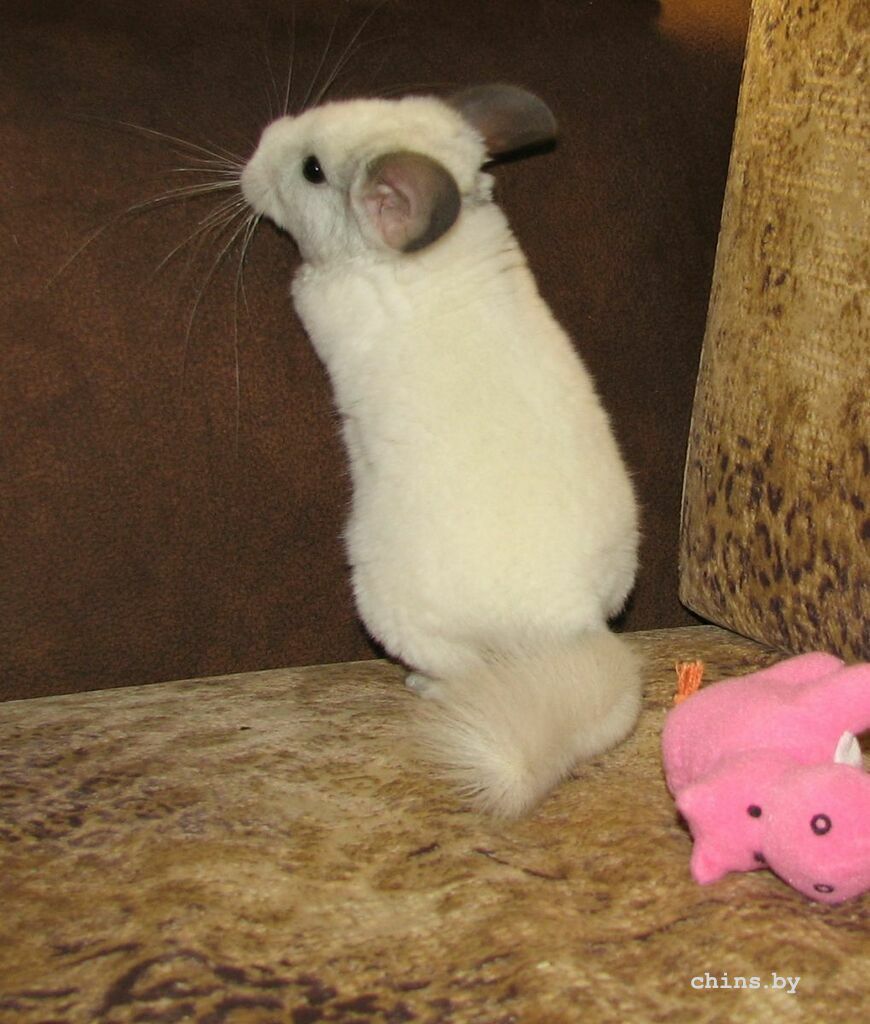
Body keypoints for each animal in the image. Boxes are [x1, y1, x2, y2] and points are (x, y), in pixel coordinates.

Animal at [241, 84, 642, 817]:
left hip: (383, 601)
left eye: (312, 170)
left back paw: (422, 686)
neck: (429, 253)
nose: (254, 155)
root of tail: (572, 619)